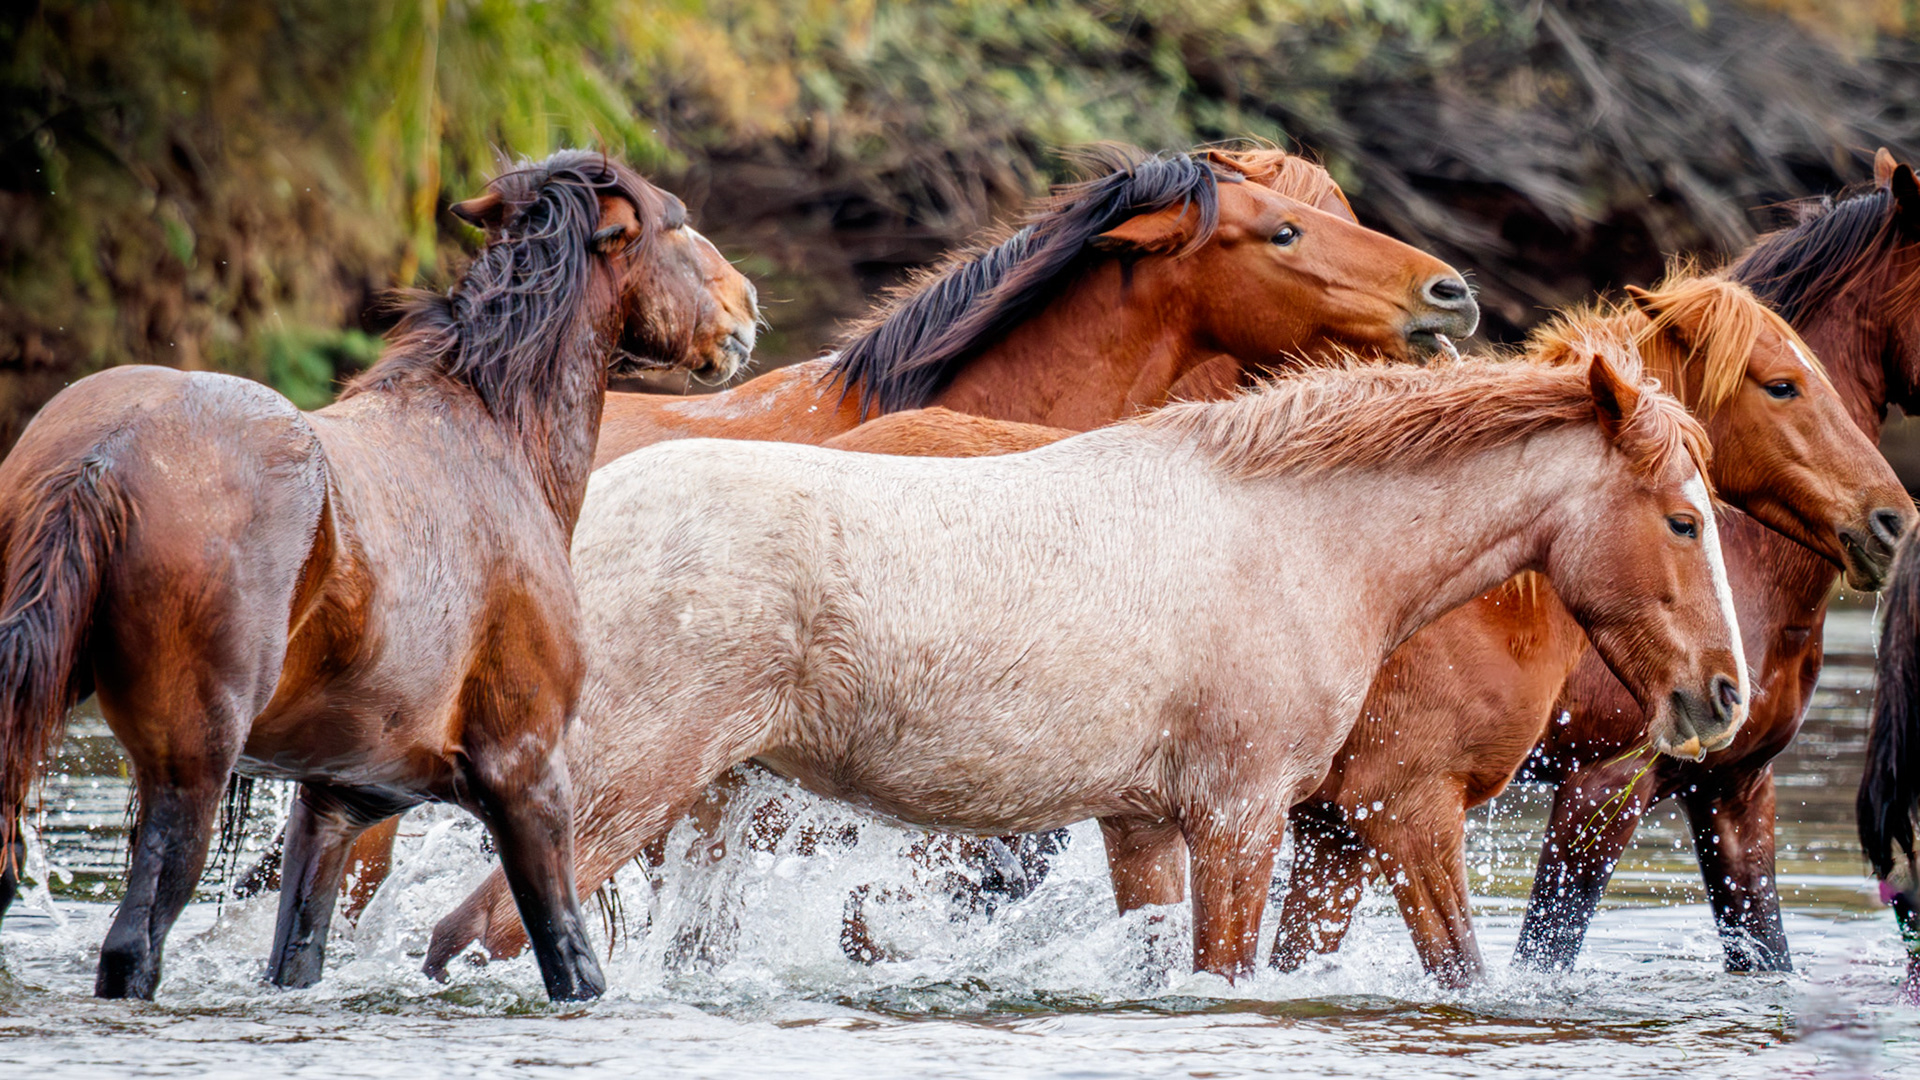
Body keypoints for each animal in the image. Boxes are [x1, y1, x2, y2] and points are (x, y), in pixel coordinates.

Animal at [0, 151, 759, 1002]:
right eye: (677, 222)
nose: (744, 305)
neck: (496, 435)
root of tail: (104, 454)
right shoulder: (526, 773)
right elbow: (570, 961)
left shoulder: (334, 802)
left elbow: (297, 957)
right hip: (189, 770)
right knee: (134, 945)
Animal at [421, 354, 1747, 983]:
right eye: (1684, 520)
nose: (1722, 694)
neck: (1297, 533)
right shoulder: (1245, 817)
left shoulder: (1144, 823)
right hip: (621, 796)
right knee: (480, 935)